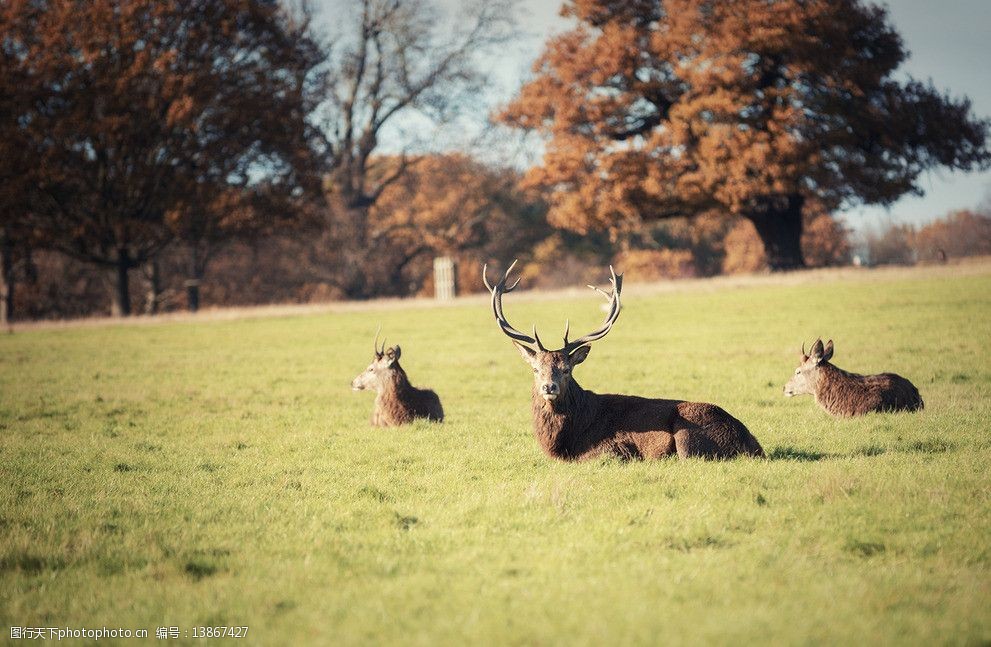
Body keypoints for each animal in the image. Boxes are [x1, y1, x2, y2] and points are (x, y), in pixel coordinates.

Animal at [484, 260, 764, 464]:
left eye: (566, 369)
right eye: (535, 369)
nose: (548, 387)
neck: (564, 441)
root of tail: (753, 445)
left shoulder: (615, 448)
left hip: (688, 436)